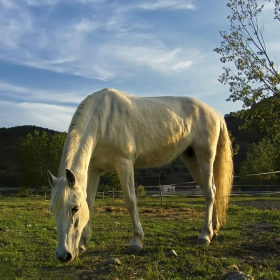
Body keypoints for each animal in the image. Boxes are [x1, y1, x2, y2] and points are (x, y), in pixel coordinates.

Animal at [47, 88, 233, 262]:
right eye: (53, 209)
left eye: (74, 208)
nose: (64, 255)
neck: (103, 119)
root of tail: (214, 112)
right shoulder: (94, 169)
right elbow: (90, 203)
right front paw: (82, 244)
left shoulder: (124, 163)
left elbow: (130, 201)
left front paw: (136, 242)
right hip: (191, 158)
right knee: (212, 190)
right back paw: (214, 230)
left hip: (204, 156)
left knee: (209, 192)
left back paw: (205, 235)